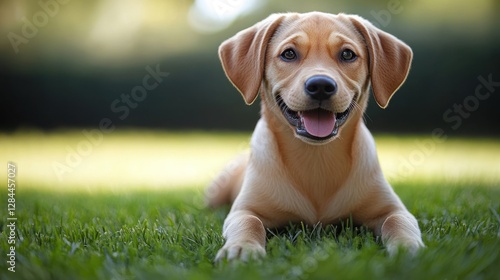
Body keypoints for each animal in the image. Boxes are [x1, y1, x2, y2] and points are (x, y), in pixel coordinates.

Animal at [205, 10, 424, 260]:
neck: (316, 157)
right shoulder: (244, 209)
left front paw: (408, 245)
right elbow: (248, 222)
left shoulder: (392, 208)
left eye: (347, 54)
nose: (320, 85)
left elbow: (397, 221)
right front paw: (243, 248)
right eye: (289, 53)